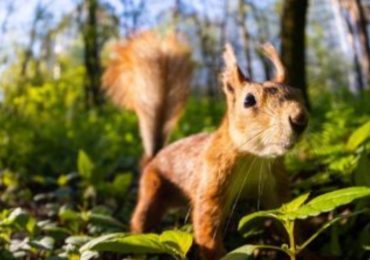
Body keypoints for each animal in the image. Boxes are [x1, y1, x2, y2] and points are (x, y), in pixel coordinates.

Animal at [102, 31, 308, 260]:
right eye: (248, 100)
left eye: (298, 92)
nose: (300, 119)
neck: (254, 158)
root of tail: (155, 156)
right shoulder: (212, 180)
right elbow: (207, 224)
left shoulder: (277, 185)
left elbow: (287, 219)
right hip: (152, 188)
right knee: (142, 217)